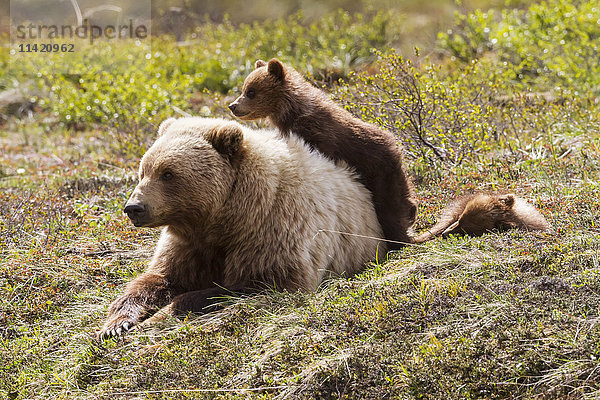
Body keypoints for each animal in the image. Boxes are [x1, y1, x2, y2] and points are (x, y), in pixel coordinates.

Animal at [97, 116, 380, 338]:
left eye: (168, 173)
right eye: (144, 170)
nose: (134, 207)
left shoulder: (275, 231)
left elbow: (258, 284)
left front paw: (160, 316)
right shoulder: (190, 244)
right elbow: (159, 278)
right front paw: (116, 325)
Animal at [229, 58, 418, 250]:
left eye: (251, 91)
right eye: (244, 88)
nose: (233, 106)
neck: (291, 113)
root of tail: (397, 148)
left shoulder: (320, 135)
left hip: (381, 176)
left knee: (391, 209)